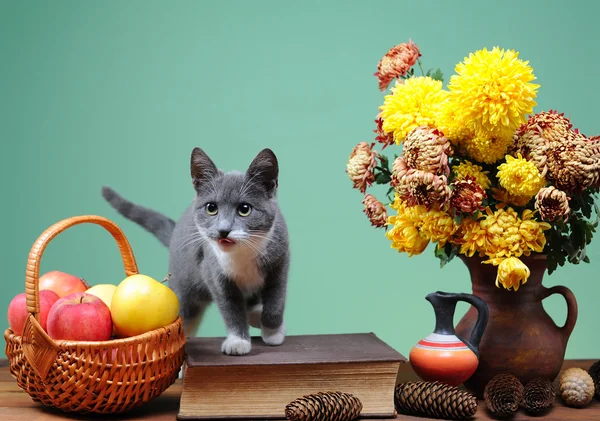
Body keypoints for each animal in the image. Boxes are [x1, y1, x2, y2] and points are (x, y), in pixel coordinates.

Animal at [101, 148, 290, 354]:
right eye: (211, 208)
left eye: (245, 209)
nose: (223, 230)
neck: (241, 254)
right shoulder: (213, 272)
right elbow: (231, 308)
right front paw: (238, 342)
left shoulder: (280, 260)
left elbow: (276, 301)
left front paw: (273, 333)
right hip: (185, 289)